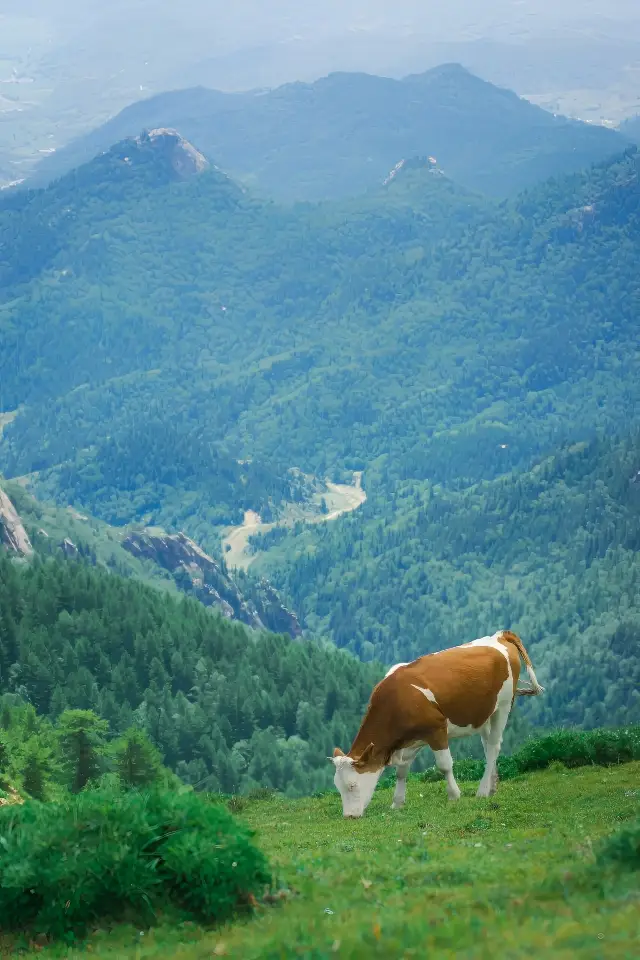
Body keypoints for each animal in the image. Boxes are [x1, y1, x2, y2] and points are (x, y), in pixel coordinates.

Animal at [330, 632, 544, 816]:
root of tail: (499, 635)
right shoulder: (410, 740)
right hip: (486, 713)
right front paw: (397, 803)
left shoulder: (436, 729)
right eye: (338, 787)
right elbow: (401, 771)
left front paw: (454, 795)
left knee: (493, 747)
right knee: (488, 745)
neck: (396, 699)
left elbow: (444, 765)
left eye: (352, 785)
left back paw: (483, 791)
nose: (349, 816)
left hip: (504, 705)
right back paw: (492, 787)